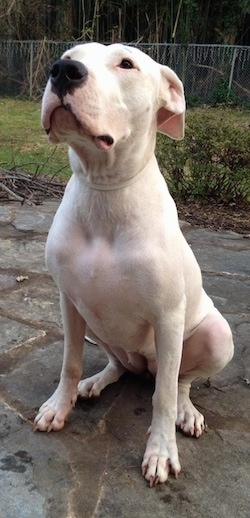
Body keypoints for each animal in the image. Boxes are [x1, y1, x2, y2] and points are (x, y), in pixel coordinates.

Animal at [33, 43, 234, 488]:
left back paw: (187, 412)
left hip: (216, 335)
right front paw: (60, 405)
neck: (105, 189)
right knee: (118, 364)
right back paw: (95, 382)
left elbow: (163, 396)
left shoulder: (168, 317)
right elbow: (69, 362)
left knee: (179, 380)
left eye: (126, 64)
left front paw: (160, 451)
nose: (63, 71)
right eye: (70, 54)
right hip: (98, 327)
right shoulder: (69, 302)